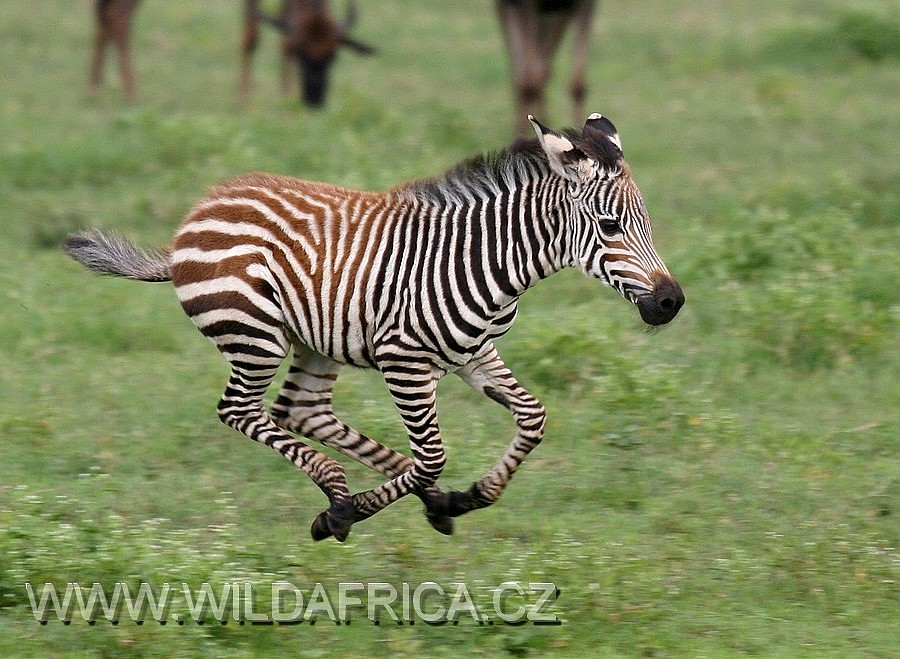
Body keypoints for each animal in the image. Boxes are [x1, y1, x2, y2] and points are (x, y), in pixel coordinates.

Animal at [63, 116, 684, 544]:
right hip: (255, 334)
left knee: (301, 410)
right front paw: (359, 511)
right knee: (241, 410)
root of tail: (199, 211)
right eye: (609, 226)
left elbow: (533, 418)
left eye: (647, 223)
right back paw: (342, 502)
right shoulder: (404, 361)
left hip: (316, 339)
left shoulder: (473, 352)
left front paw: (469, 497)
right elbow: (432, 454)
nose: (671, 303)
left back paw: (383, 495)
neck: (489, 262)